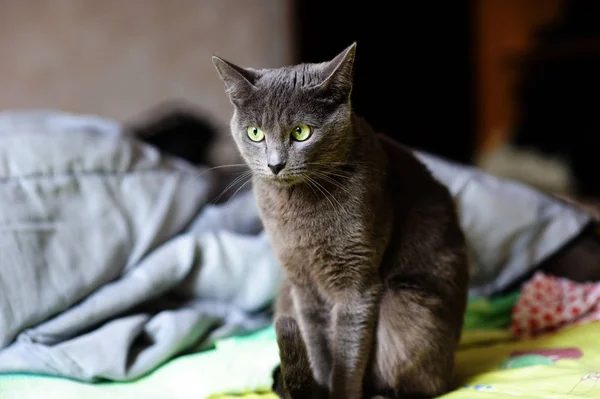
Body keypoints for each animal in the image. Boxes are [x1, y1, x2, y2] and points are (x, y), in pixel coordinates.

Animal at [213, 43, 472, 399]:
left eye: (301, 132)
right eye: (255, 133)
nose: (275, 164)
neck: (299, 209)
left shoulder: (357, 281)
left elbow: (347, 353)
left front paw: (338, 391)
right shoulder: (301, 283)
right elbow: (317, 346)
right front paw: (319, 386)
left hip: (406, 305)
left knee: (421, 384)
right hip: (286, 293)